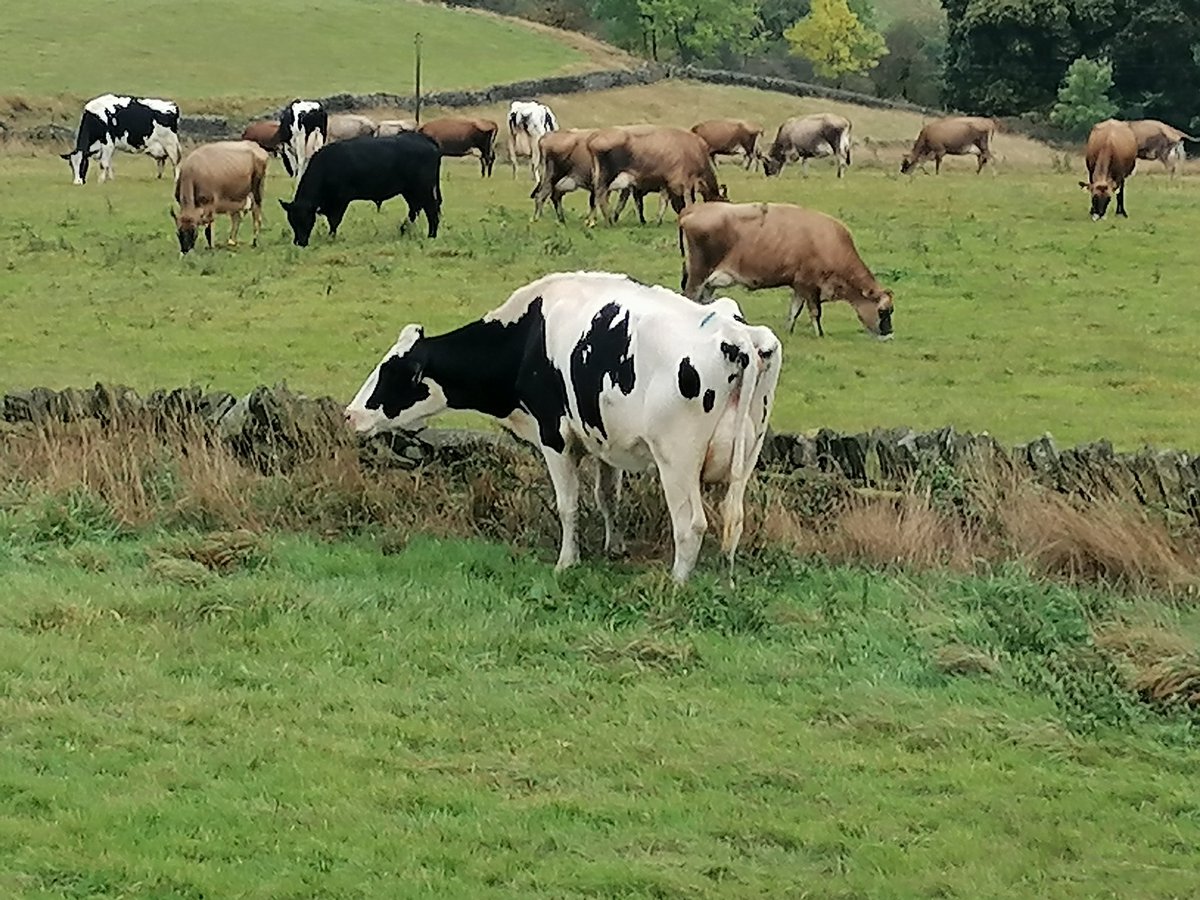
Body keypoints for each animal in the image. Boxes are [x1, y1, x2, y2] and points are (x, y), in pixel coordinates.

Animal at [279, 133, 442, 245]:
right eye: (291, 221)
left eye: (305, 219)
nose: (299, 243)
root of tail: (424, 139)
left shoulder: (340, 200)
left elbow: (334, 220)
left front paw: (331, 237)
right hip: (410, 190)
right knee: (415, 208)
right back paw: (404, 230)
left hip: (423, 188)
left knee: (431, 209)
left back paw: (431, 235)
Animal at [343, 271, 782, 583]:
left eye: (391, 372)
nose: (349, 414)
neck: (528, 335)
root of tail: (738, 336)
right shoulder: (605, 438)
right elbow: (607, 497)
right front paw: (614, 548)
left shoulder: (554, 435)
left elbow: (568, 505)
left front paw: (567, 562)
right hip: (747, 456)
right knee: (734, 519)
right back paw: (726, 581)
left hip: (677, 460)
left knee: (691, 524)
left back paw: (676, 583)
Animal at [587, 126, 723, 226]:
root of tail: (596, 135)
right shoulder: (681, 182)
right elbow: (687, 201)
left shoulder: (666, 185)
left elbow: (663, 202)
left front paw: (658, 220)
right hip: (607, 176)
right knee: (601, 195)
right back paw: (608, 221)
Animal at [679, 202, 894, 339]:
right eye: (883, 311)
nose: (889, 333)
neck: (828, 242)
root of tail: (692, 209)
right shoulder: (809, 285)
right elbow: (815, 312)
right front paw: (820, 334)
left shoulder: (798, 285)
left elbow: (794, 310)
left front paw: (788, 330)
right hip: (698, 273)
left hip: (708, 281)